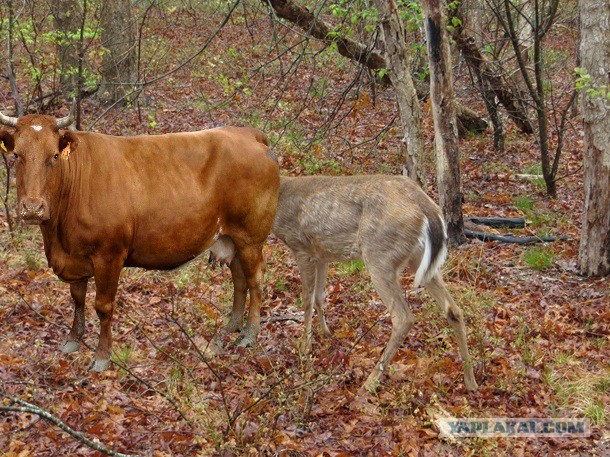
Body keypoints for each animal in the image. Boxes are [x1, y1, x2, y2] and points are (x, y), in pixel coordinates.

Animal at [0, 106, 278, 370]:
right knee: (239, 278)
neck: (59, 237)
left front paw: (102, 357)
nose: (32, 208)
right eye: (16, 156)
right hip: (232, 237)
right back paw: (232, 326)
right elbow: (77, 298)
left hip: (251, 236)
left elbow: (103, 306)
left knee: (255, 279)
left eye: (54, 156)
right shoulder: (75, 258)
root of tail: (248, 133)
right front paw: (73, 340)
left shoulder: (109, 255)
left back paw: (249, 334)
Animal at [270, 175, 476, 392]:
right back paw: (470, 380)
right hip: (418, 259)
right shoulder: (321, 254)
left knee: (403, 318)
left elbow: (307, 300)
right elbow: (319, 296)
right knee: (454, 309)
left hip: (379, 254)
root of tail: (427, 207)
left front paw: (304, 347)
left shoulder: (301, 247)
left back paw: (369, 382)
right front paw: (326, 333)